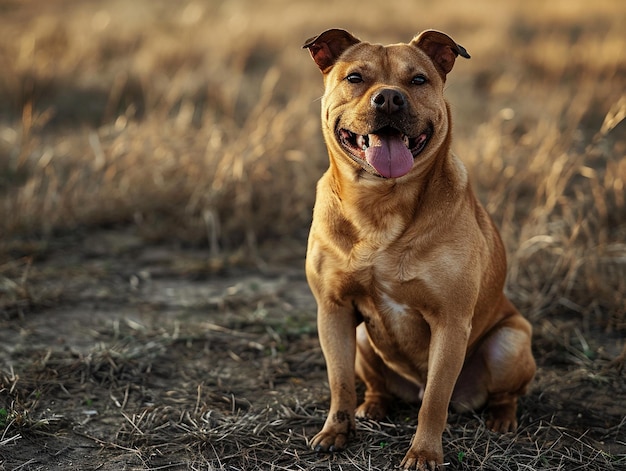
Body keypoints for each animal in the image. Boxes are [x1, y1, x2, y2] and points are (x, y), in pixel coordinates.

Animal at [302, 30, 536, 471]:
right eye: (355, 78)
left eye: (418, 80)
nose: (389, 99)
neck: (380, 203)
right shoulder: (333, 309)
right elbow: (339, 382)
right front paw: (336, 432)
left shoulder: (450, 321)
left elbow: (435, 401)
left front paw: (424, 454)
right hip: (363, 339)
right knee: (374, 384)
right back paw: (373, 406)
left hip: (510, 342)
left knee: (499, 393)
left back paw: (501, 418)